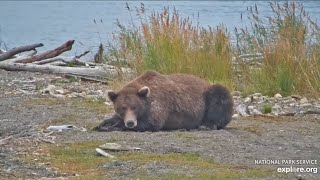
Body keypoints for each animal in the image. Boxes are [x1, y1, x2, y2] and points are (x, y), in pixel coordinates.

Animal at [94, 71, 232, 131]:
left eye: (135, 107)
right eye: (122, 108)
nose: (130, 123)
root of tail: (205, 81)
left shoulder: (159, 106)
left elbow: (151, 123)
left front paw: (113, 126)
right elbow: (113, 118)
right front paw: (103, 124)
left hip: (207, 96)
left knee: (219, 96)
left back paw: (206, 125)